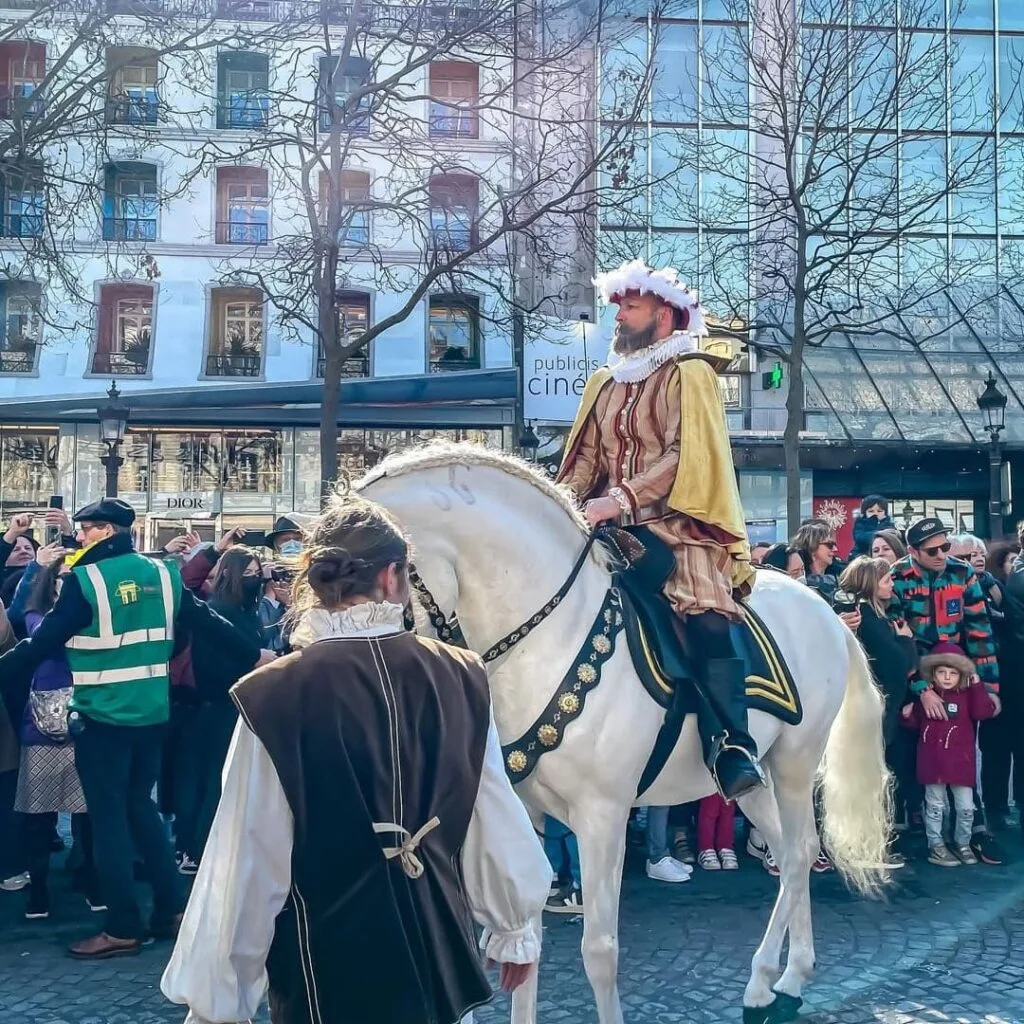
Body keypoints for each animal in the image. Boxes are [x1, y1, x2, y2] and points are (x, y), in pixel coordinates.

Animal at [357, 442, 891, 1024]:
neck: (547, 637)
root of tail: (829, 611)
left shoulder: (602, 816)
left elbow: (599, 951)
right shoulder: (525, 812)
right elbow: (523, 936)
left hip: (794, 761)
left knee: (798, 852)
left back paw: (781, 979)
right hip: (755, 780)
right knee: (789, 849)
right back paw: (776, 979)